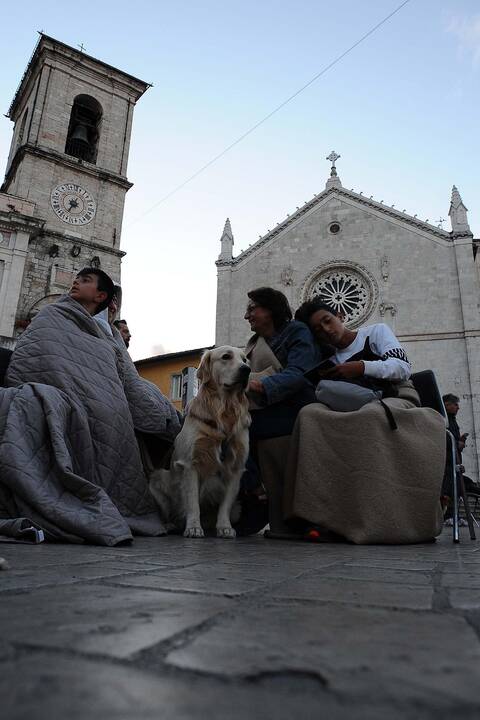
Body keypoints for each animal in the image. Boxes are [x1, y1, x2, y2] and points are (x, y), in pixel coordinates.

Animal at [150, 346, 251, 536]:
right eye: (226, 357)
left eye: (245, 360)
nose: (246, 370)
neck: (224, 410)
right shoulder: (190, 464)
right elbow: (193, 504)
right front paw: (194, 527)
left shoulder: (236, 468)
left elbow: (225, 506)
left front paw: (225, 527)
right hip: (158, 480)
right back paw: (169, 525)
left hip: (238, 508)